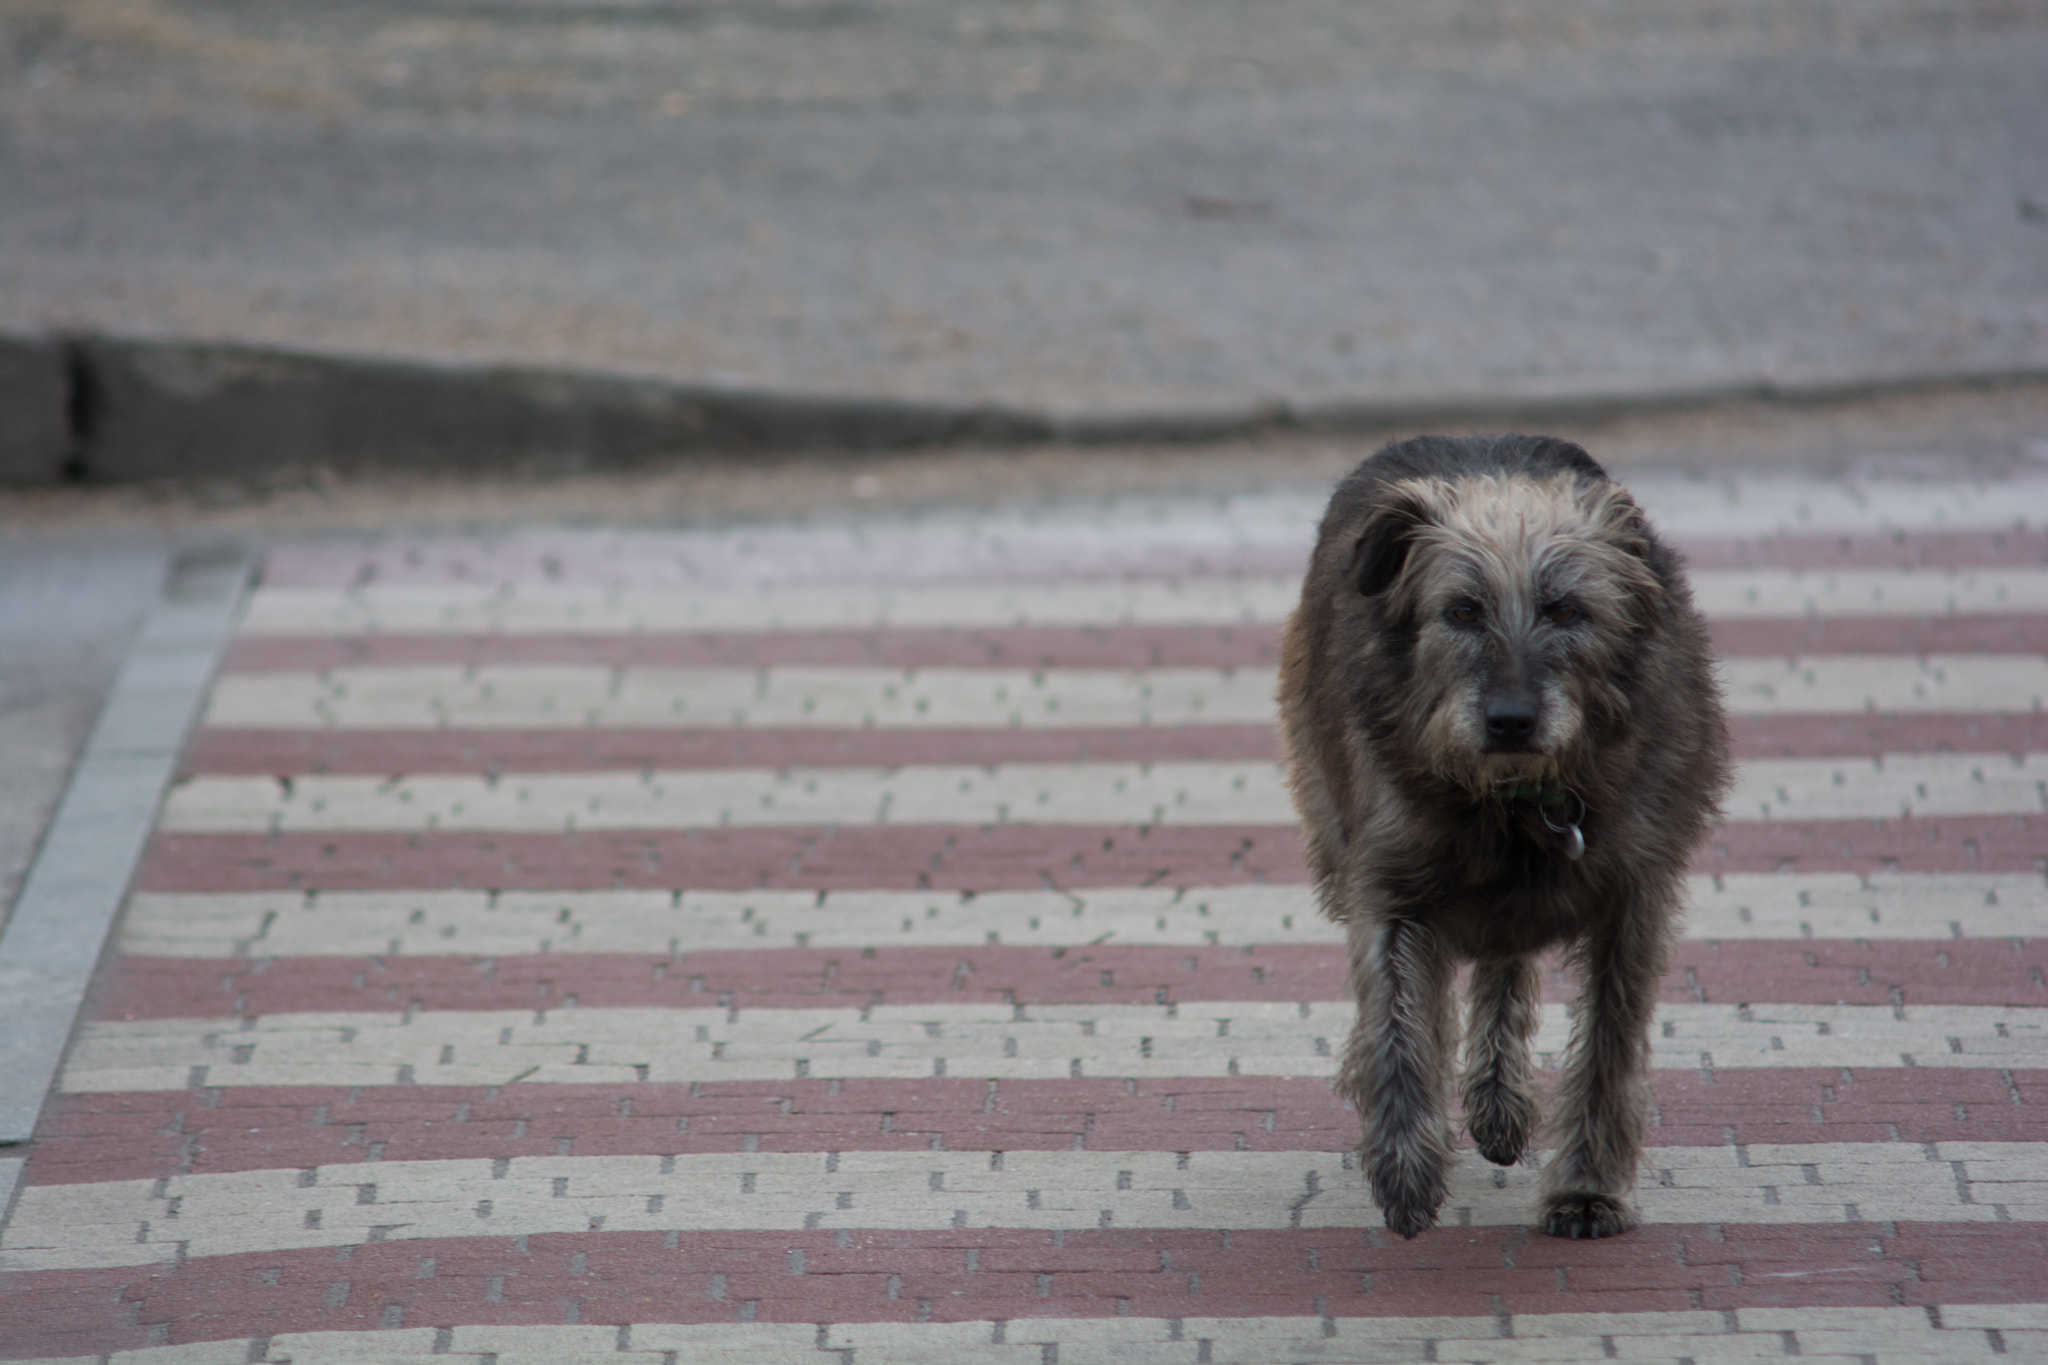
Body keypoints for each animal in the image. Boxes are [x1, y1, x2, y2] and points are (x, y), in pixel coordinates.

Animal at [1277, 435, 1728, 1236]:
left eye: (1565, 608)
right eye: (1461, 610)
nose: (1511, 720)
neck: (1516, 800)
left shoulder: (1633, 904)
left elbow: (1608, 1048)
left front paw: (1588, 1188)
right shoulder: (1390, 886)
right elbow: (1396, 1024)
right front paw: (1405, 1163)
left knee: (1504, 965)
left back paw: (1498, 1098)